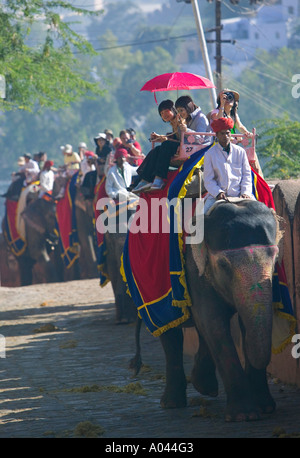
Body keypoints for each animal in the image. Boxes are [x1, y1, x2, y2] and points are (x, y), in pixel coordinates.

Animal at [131, 199, 282, 422]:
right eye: (224, 265)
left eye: (275, 258)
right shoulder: (194, 269)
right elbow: (214, 324)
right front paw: (243, 416)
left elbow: (241, 323)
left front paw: (265, 408)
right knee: (172, 334)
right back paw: (172, 403)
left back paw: (205, 387)